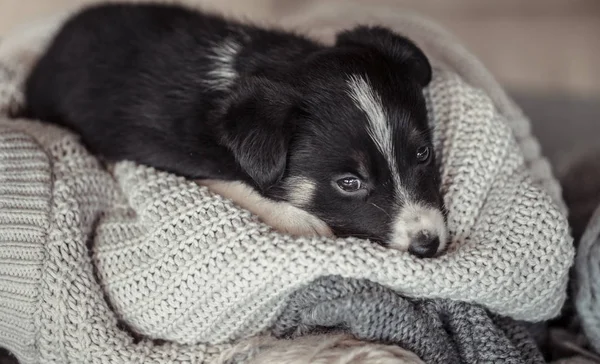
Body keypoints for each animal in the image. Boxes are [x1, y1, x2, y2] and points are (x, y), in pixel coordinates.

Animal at [21, 1, 448, 258]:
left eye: (423, 153)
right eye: (349, 183)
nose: (428, 245)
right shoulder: (161, 155)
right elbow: (235, 184)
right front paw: (303, 222)